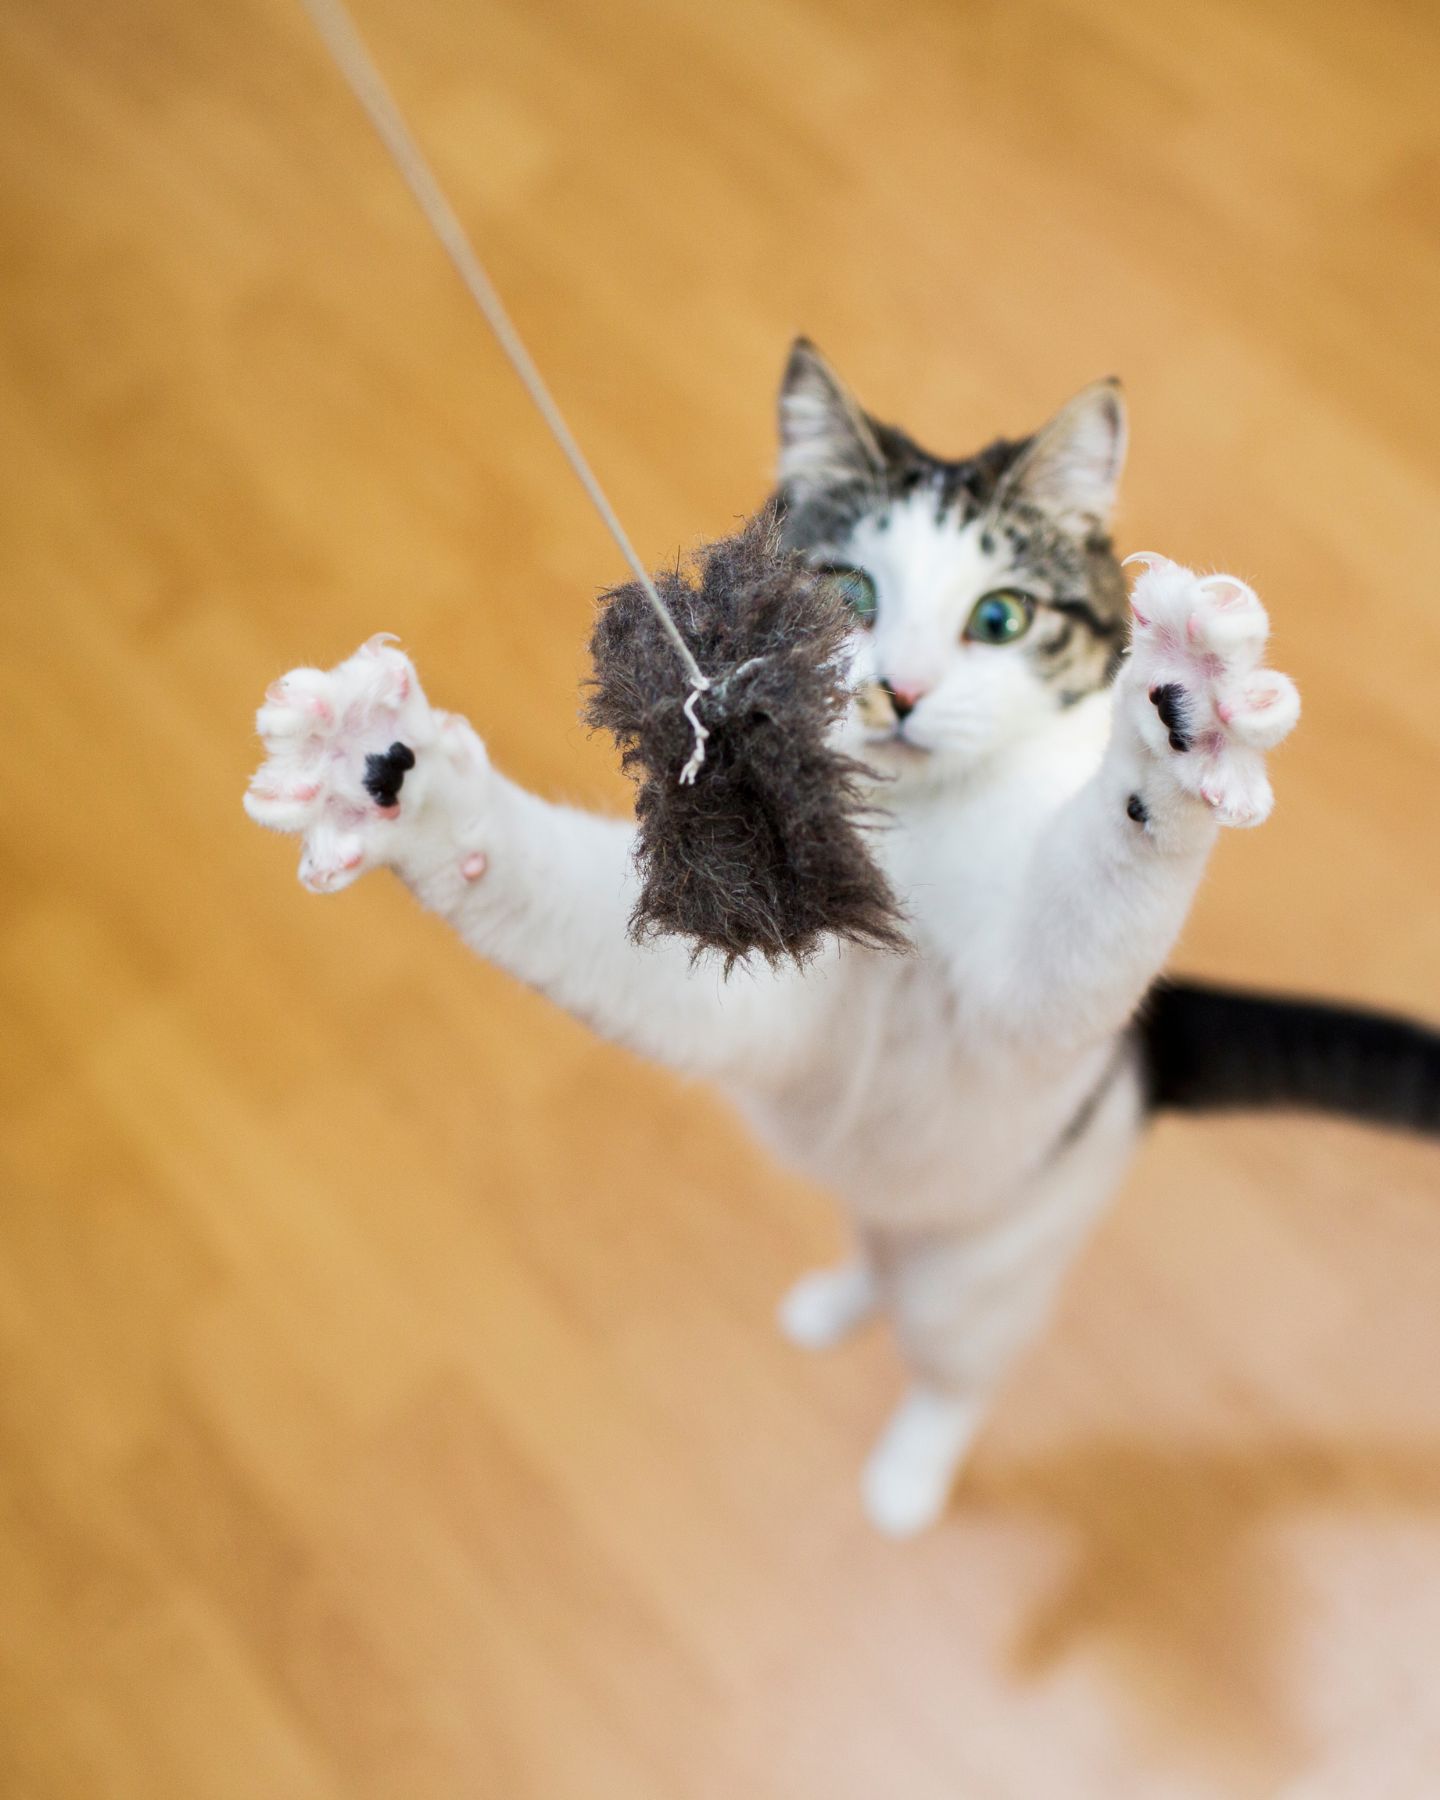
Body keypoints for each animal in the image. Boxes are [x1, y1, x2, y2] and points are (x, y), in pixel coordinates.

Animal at [248, 343, 1440, 1540]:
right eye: (851, 594)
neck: (912, 825)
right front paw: (380, 771)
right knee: (875, 1239)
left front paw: (1182, 708)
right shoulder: (760, 995)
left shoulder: (1029, 1004)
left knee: (957, 1370)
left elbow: (1087, 911)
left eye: (1001, 618)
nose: (898, 692)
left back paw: (908, 1477)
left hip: (993, 1259)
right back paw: (833, 1303)